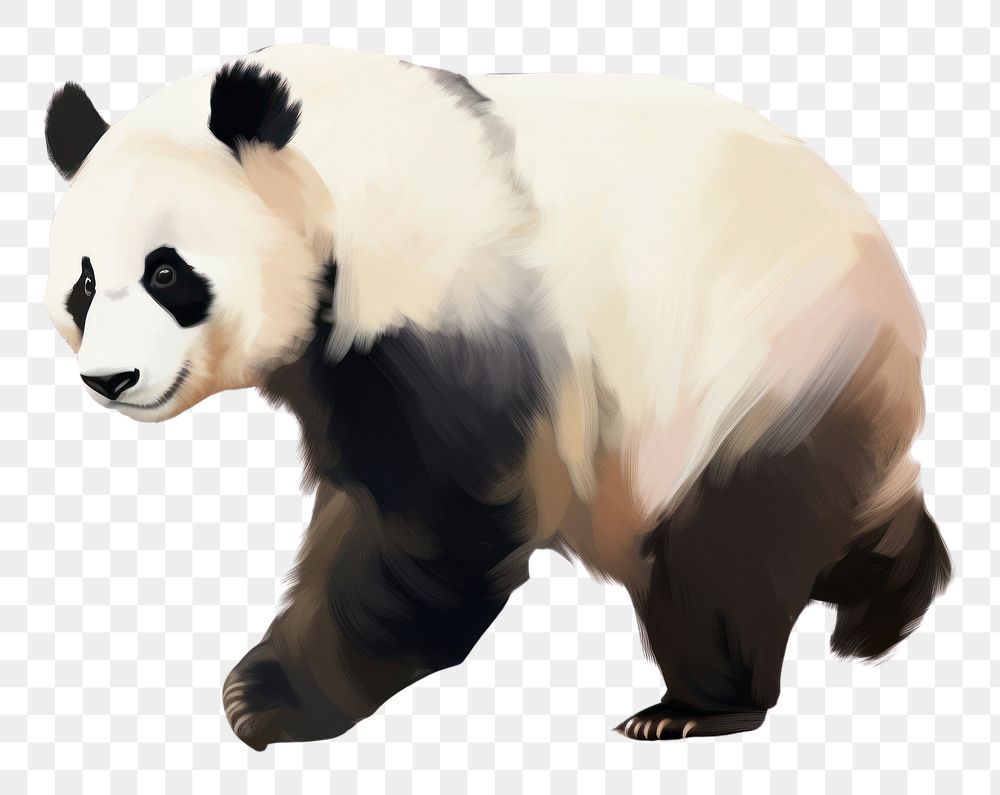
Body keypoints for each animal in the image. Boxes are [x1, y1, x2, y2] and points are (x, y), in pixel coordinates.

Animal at [43, 44, 951, 748]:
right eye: (82, 283)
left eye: (167, 272)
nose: (110, 379)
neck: (335, 161)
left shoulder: (445, 306)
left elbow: (439, 526)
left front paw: (265, 697)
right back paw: (887, 602)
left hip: (752, 360)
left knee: (721, 547)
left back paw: (700, 705)